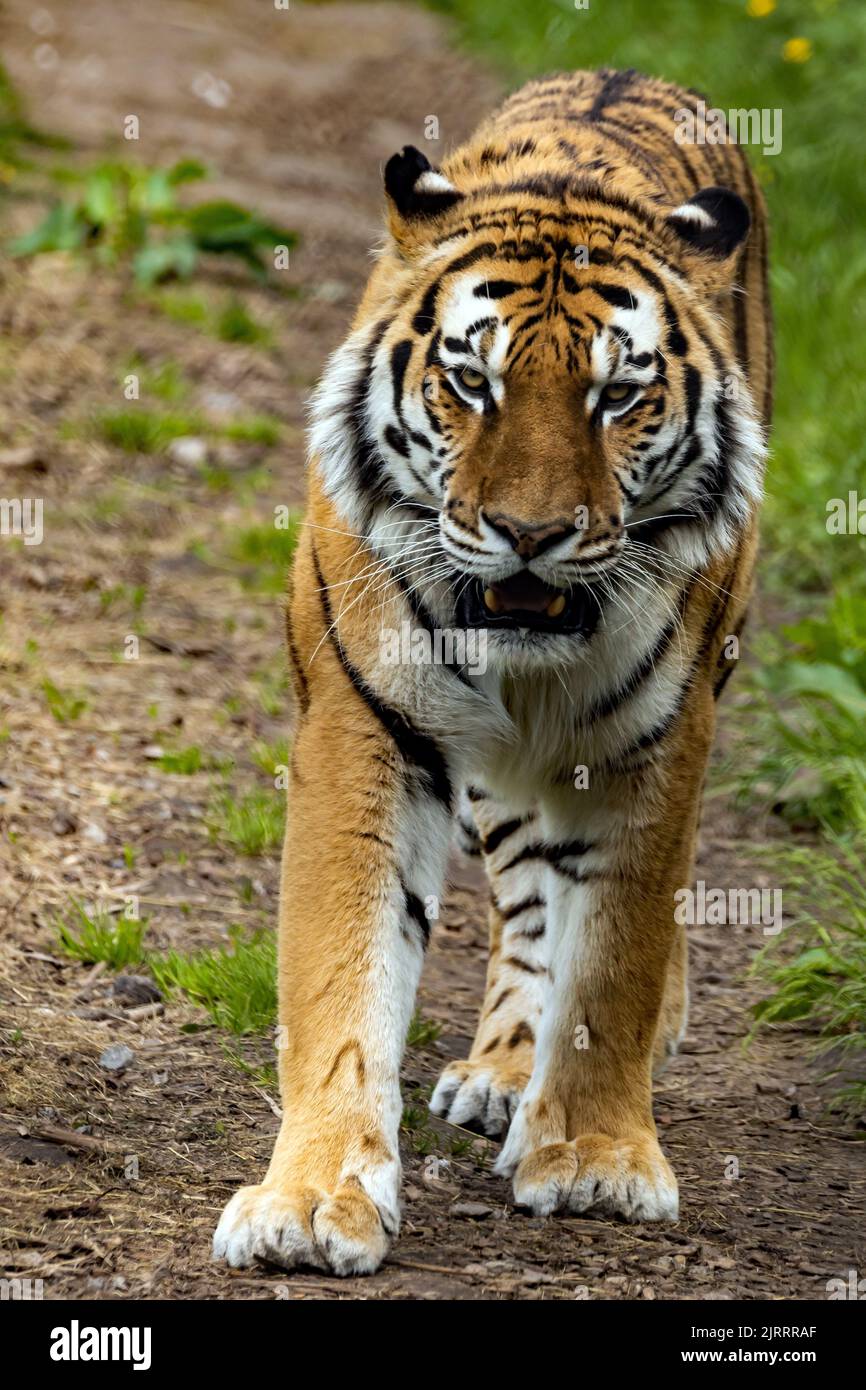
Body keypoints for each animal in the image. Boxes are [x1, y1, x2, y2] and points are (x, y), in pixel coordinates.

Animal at [215, 70, 772, 1273]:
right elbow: (343, 970)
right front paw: (311, 1196)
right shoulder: (364, 721)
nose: (528, 534)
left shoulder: (656, 741)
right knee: (523, 902)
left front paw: (598, 1159)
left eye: (618, 397)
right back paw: (506, 1069)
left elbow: (614, 955)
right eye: (472, 382)